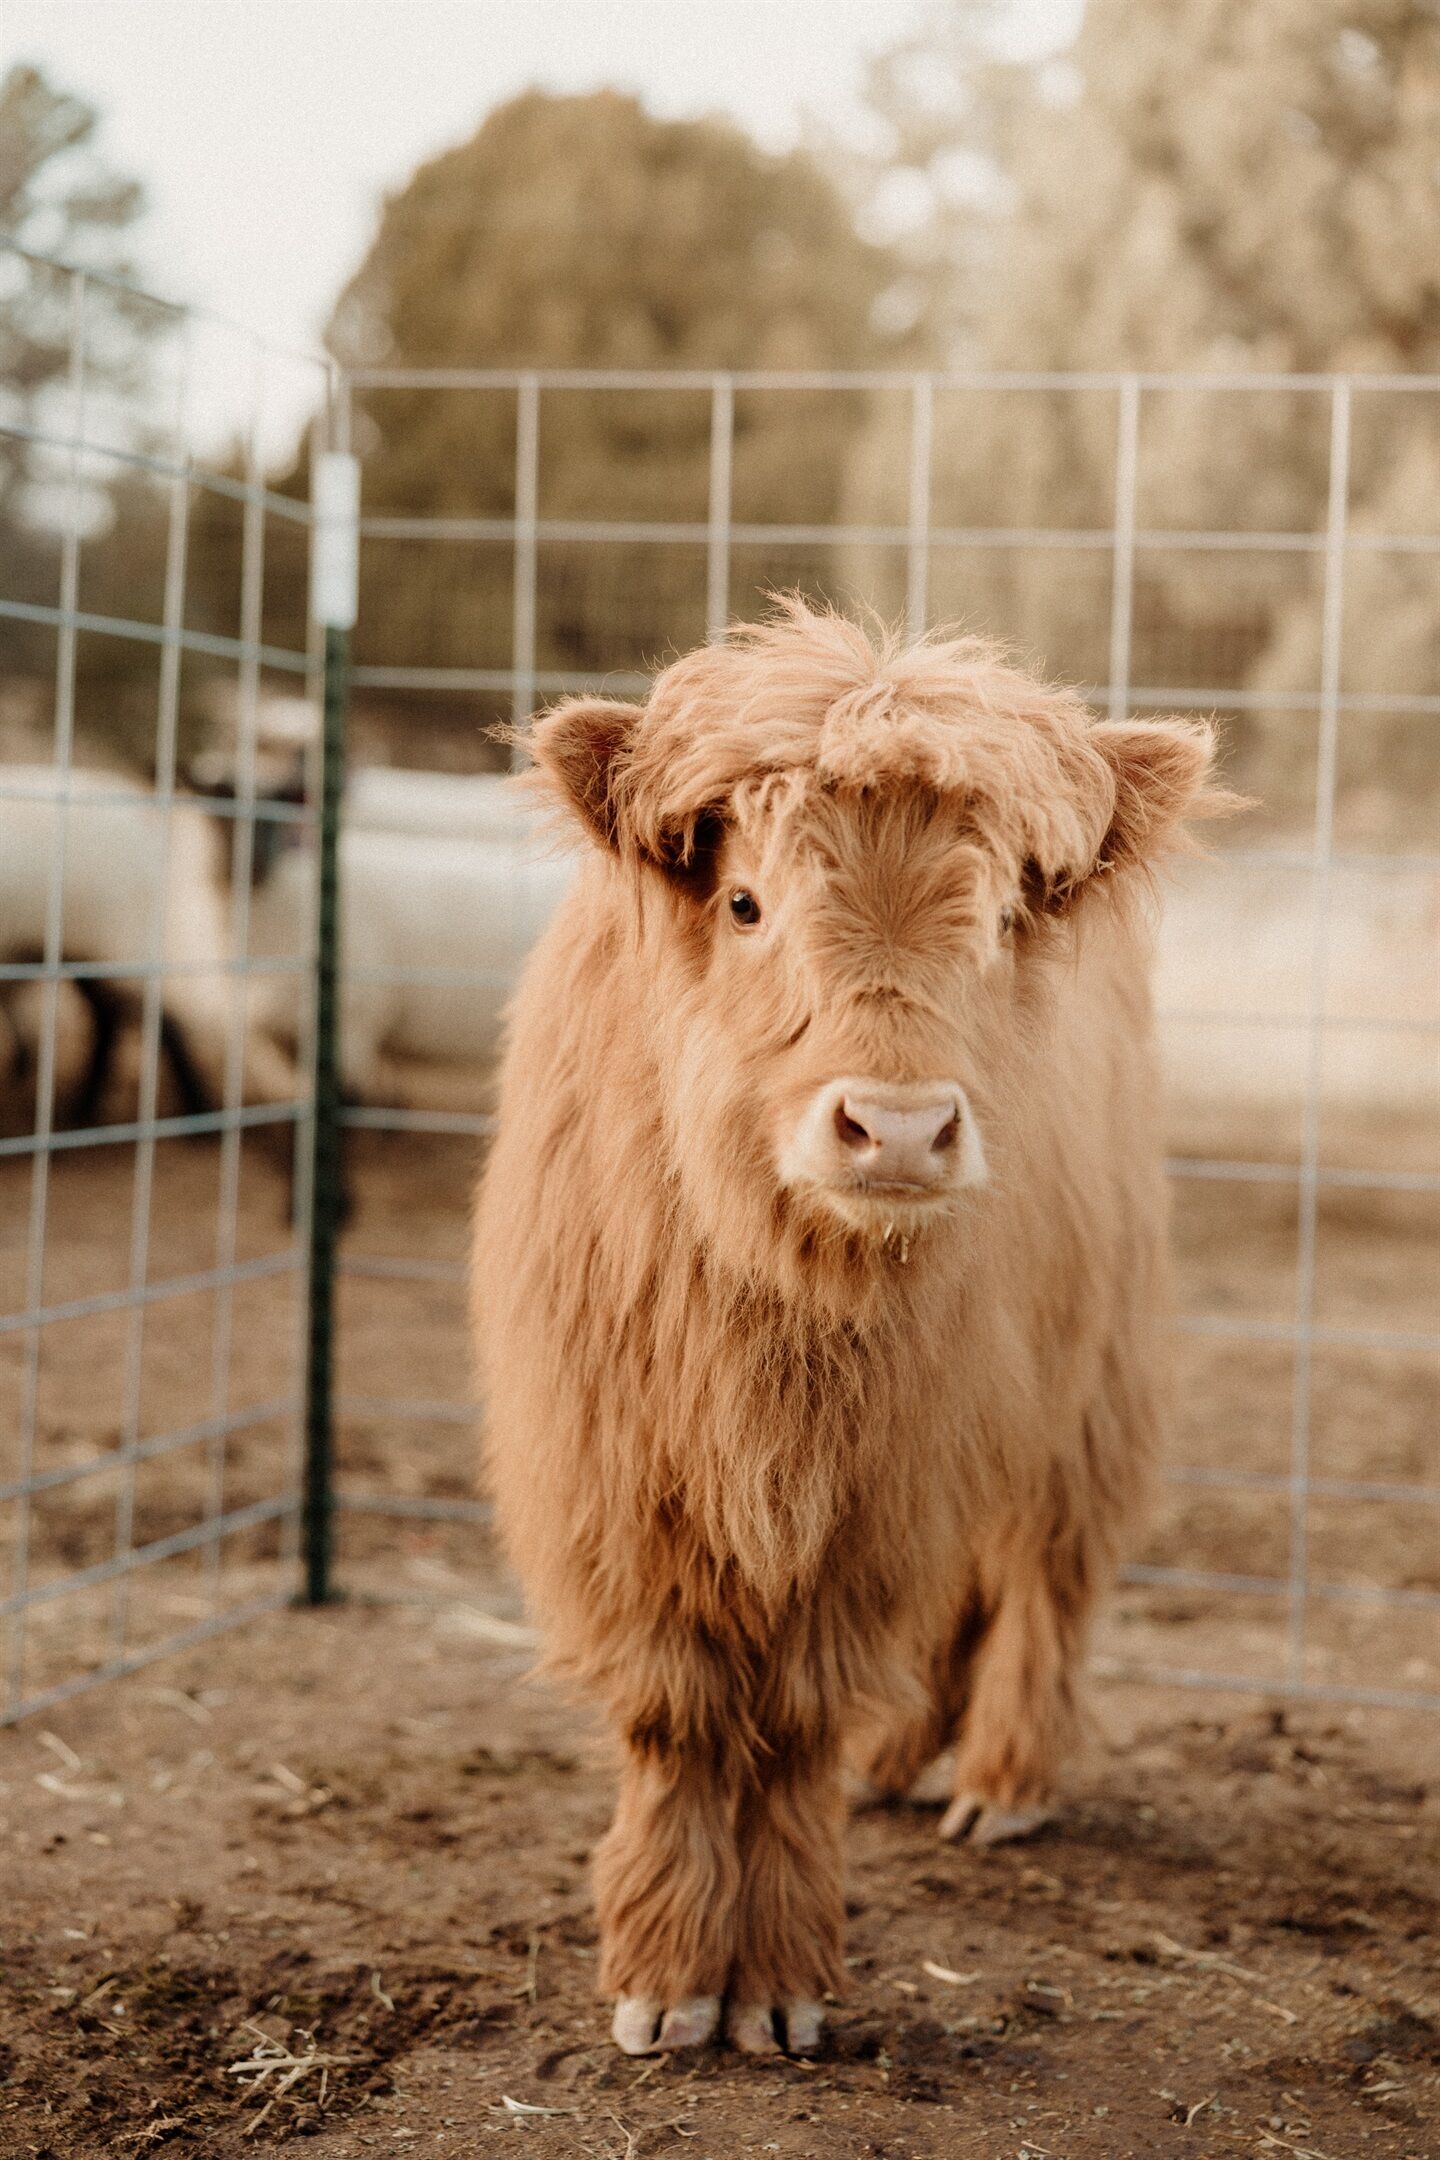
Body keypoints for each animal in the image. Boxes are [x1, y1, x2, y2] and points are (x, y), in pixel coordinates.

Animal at [471, 599, 1227, 2059]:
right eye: (747, 902)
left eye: (1000, 916)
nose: (899, 1126)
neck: (788, 1319)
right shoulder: (616, 1478)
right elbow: (678, 1716)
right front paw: (666, 1978)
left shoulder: (882, 1485)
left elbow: (797, 1723)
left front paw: (774, 1984)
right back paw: (898, 1765)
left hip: (1091, 1371)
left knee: (1045, 1571)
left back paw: (1001, 1781)